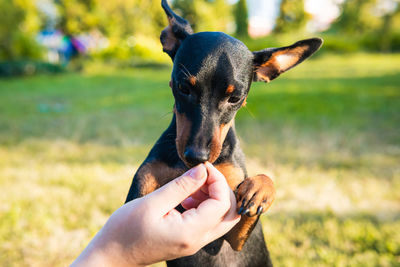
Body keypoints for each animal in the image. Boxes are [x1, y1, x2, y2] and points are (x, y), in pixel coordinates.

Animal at [126, 1, 324, 266]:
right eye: (183, 87)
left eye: (235, 98)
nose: (196, 157)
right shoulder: (138, 198)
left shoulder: (235, 238)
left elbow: (262, 184)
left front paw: (259, 189)